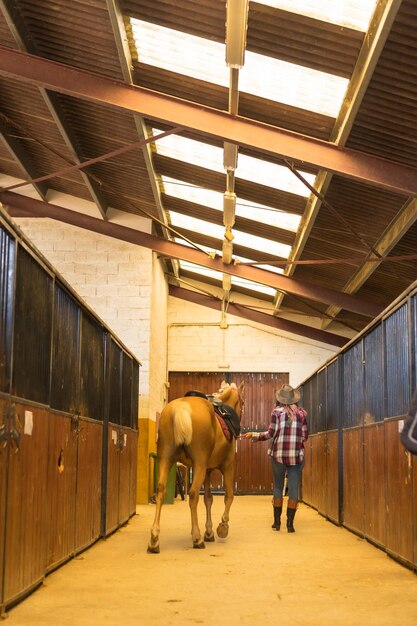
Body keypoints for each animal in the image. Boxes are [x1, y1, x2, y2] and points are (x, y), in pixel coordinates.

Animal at [147, 380, 242, 552]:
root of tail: (181, 407)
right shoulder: (227, 466)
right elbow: (229, 496)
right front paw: (222, 527)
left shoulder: (208, 471)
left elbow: (209, 499)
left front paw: (209, 532)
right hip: (198, 464)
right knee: (192, 494)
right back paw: (197, 538)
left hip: (166, 459)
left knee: (161, 490)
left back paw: (154, 539)